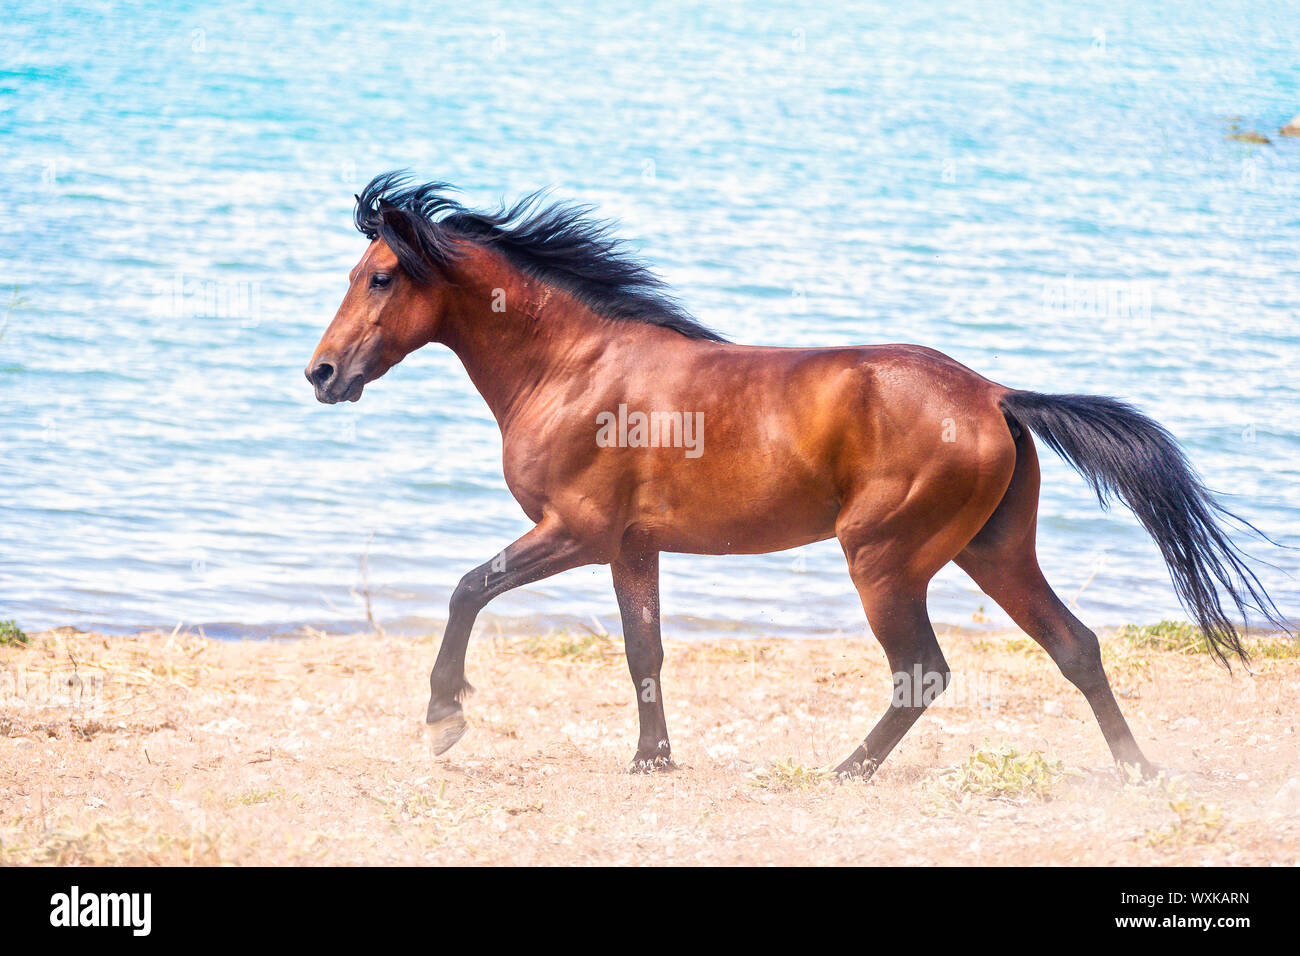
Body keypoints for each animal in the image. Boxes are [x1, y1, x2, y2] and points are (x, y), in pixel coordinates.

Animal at [305, 172, 1284, 778]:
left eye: (382, 276)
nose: (321, 374)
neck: (575, 367)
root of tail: (997, 396)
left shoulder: (574, 531)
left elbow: (470, 587)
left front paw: (444, 720)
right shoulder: (631, 547)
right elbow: (643, 649)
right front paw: (652, 759)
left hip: (883, 558)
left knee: (924, 671)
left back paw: (844, 770)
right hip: (994, 553)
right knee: (1076, 647)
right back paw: (1137, 771)